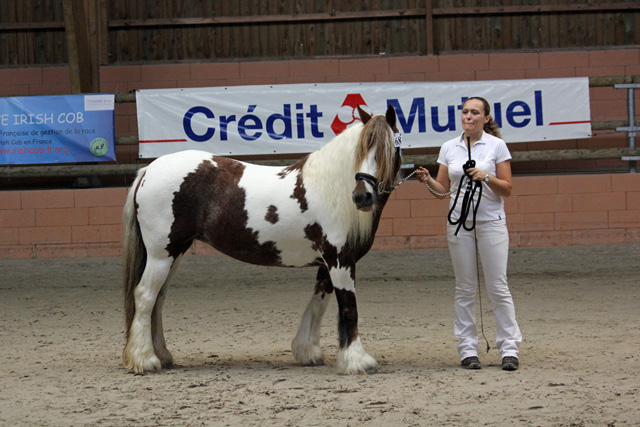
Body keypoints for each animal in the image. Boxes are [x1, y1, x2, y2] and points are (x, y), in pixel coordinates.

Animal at [123, 103, 402, 374]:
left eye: (387, 150)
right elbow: (348, 306)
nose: (362, 197)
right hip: (161, 255)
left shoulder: (328, 263)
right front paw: (357, 360)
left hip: (175, 253)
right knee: (145, 296)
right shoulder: (340, 260)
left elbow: (319, 303)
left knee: (158, 300)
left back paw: (162, 355)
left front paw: (308, 350)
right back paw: (145, 360)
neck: (331, 191)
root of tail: (149, 169)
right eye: (361, 150)